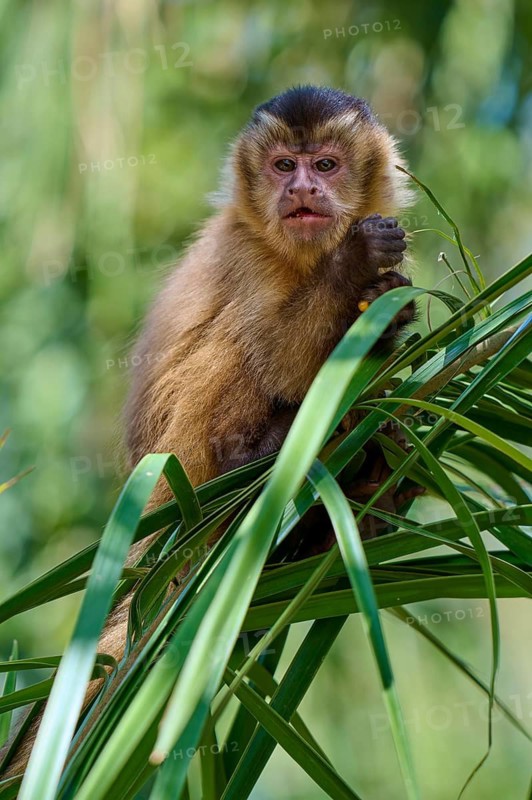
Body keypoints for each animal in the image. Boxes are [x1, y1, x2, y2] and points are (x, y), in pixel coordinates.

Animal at [1, 85, 416, 780]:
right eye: (284, 166)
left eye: (325, 166)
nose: (301, 190)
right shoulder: (247, 254)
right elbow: (277, 356)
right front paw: (352, 267)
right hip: (183, 463)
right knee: (234, 344)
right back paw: (252, 453)